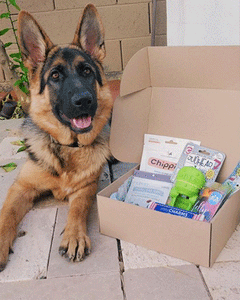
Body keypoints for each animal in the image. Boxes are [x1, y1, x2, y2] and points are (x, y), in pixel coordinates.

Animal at [0, 3, 112, 270]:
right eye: (54, 76)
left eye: (86, 71)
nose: (84, 100)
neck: (68, 146)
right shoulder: (21, 187)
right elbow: (6, 215)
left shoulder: (87, 187)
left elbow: (78, 209)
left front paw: (74, 236)